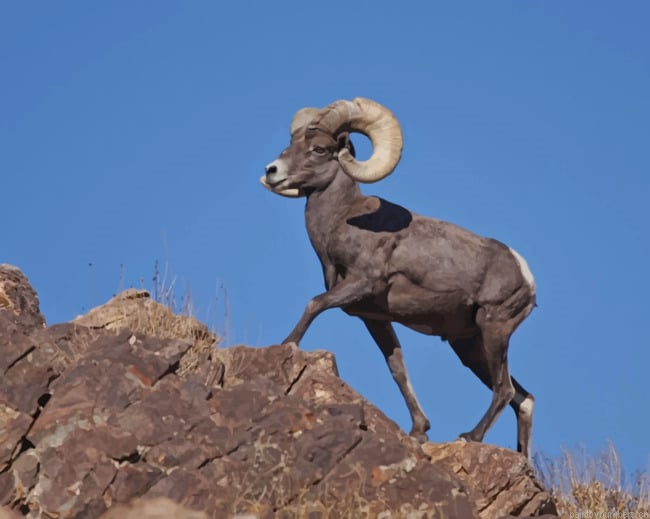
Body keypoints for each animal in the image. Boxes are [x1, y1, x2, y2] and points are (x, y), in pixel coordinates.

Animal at [260, 97, 537, 458]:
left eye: (319, 149)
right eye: (291, 145)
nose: (272, 171)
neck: (343, 220)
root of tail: (525, 275)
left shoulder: (360, 283)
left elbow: (314, 304)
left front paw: (286, 344)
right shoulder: (374, 318)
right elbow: (397, 368)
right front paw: (419, 431)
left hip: (494, 329)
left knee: (504, 390)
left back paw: (470, 436)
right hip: (469, 345)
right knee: (523, 398)